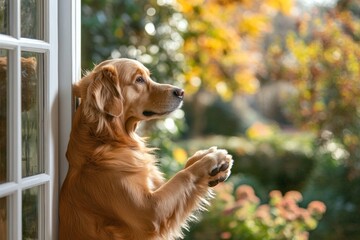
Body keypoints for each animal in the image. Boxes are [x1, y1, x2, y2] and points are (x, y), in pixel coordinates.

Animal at [59, 58, 233, 240]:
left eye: (148, 76)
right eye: (139, 80)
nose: (181, 92)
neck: (106, 140)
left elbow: (182, 171)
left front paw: (207, 157)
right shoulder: (150, 210)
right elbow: (183, 176)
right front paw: (212, 160)